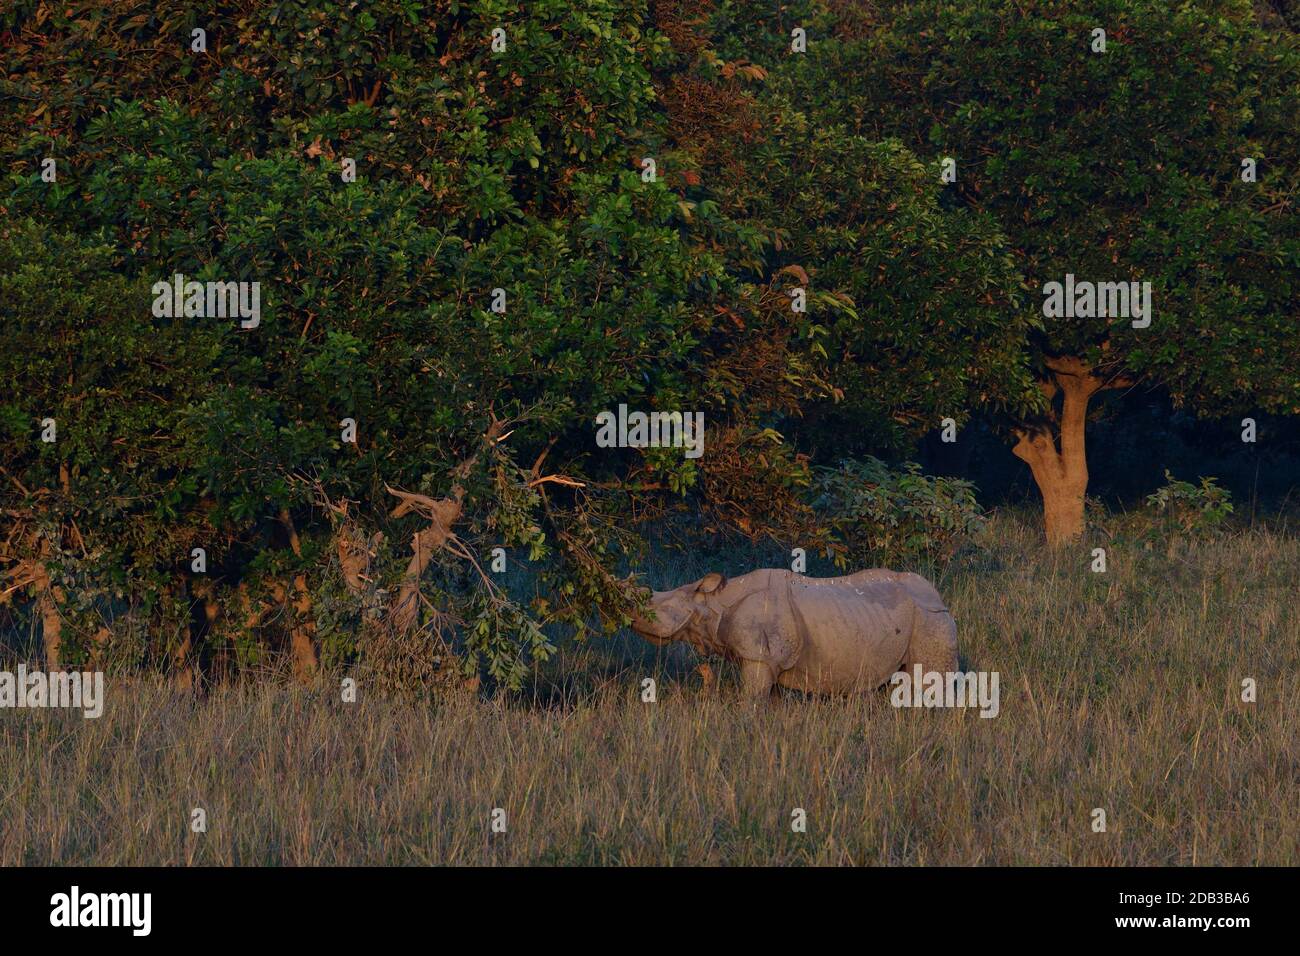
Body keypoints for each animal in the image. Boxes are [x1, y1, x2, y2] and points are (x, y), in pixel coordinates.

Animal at [629, 567, 956, 697]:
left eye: (650, 602)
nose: (629, 615)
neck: (714, 602)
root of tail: (941, 600)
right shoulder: (767, 661)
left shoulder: (759, 658)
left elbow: (751, 701)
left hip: (931, 620)